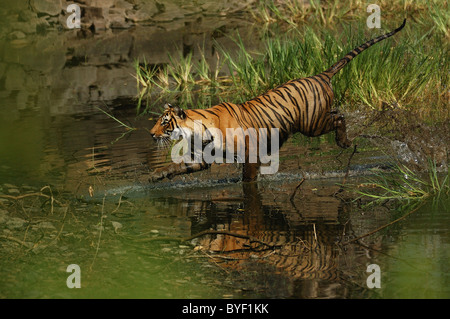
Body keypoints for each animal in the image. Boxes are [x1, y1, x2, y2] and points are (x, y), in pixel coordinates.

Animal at [149, 20, 406, 184]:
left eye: (165, 122)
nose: (151, 134)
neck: (198, 132)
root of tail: (321, 74)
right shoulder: (204, 157)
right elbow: (180, 166)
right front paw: (157, 175)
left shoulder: (249, 153)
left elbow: (248, 178)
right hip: (316, 118)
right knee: (337, 112)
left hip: (311, 124)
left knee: (340, 117)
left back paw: (344, 142)